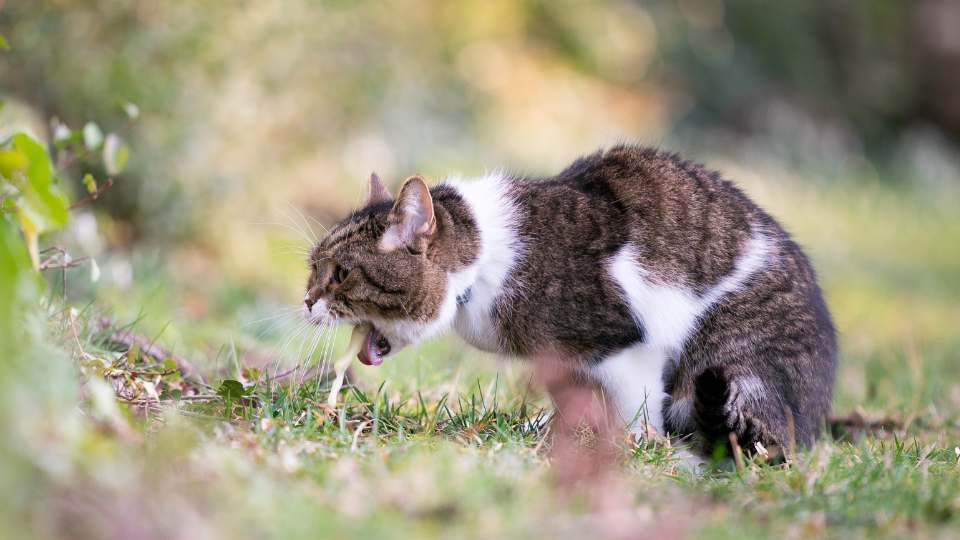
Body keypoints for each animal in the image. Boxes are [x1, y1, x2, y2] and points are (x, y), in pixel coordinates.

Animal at [304, 146, 836, 458]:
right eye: (312, 268)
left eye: (341, 274)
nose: (307, 300)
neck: (485, 261)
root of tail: (815, 415)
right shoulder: (564, 361)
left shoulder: (626, 346)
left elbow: (635, 410)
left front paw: (630, 446)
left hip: (732, 360)